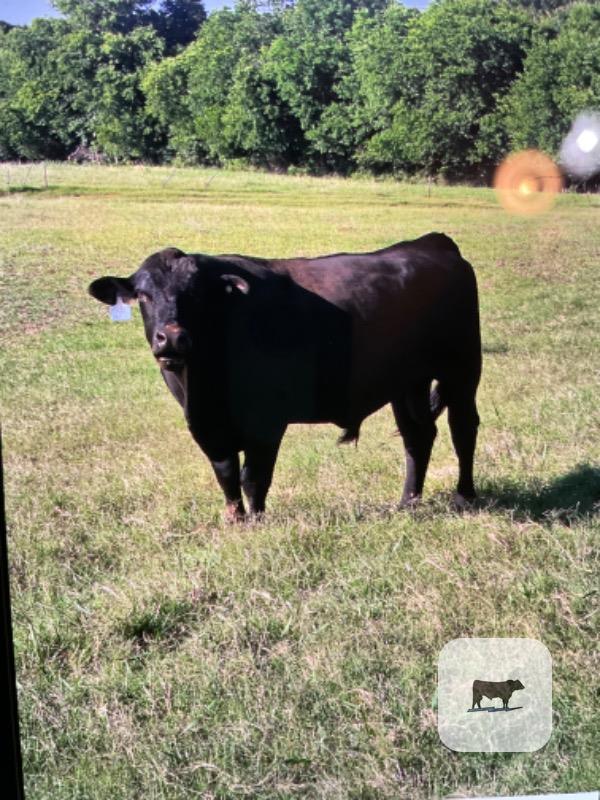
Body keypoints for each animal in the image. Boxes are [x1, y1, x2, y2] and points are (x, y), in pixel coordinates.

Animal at [88, 233, 481, 520]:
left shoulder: (266, 422)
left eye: (197, 294)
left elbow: (253, 477)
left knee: (463, 429)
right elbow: (226, 474)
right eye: (143, 295)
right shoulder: (207, 428)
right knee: (418, 436)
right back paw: (407, 502)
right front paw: (235, 520)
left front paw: (257, 522)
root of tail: (432, 243)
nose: (171, 338)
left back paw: (464, 495)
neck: (203, 388)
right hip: (407, 384)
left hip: (462, 370)